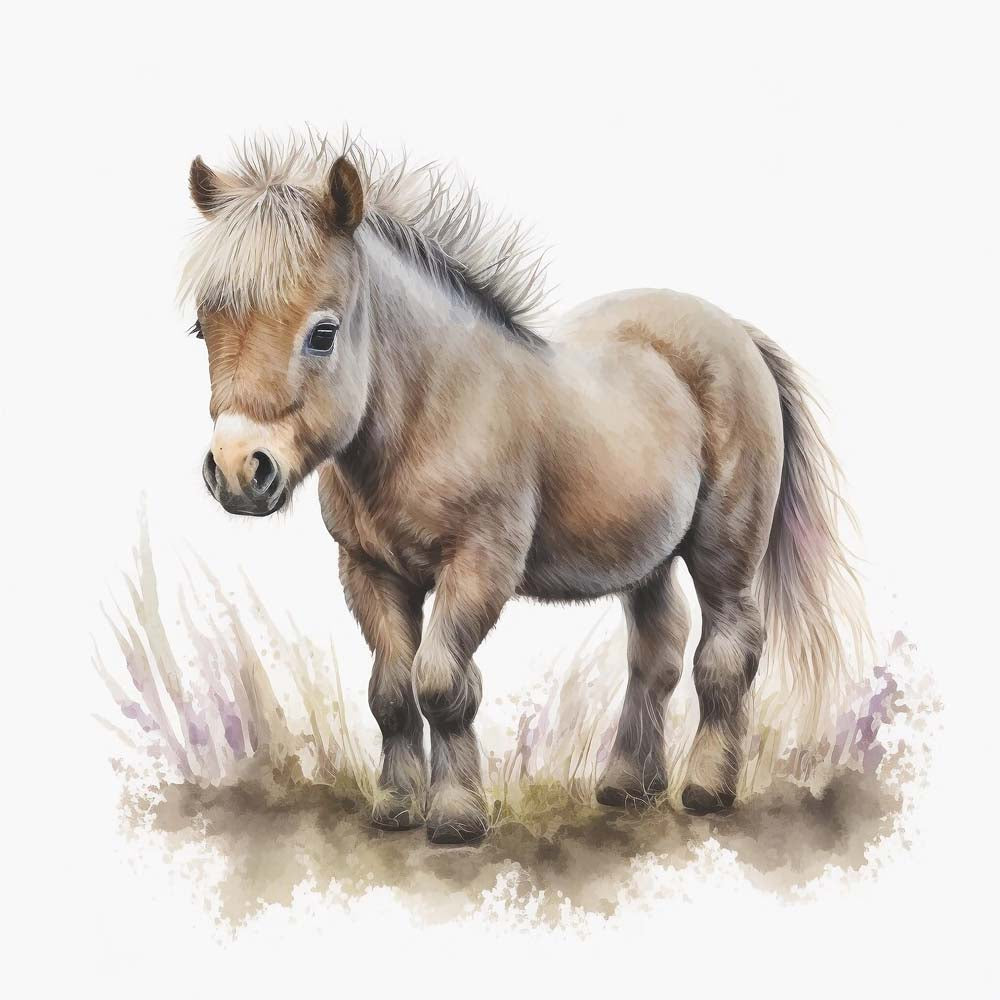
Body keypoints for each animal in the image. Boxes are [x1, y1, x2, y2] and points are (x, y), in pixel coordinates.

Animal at [181, 133, 869, 844]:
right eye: (203, 328)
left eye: (322, 333)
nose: (239, 470)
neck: (434, 407)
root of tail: (736, 333)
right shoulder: (369, 570)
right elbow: (391, 693)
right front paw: (395, 808)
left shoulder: (480, 566)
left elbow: (440, 683)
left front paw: (457, 816)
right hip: (647, 560)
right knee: (657, 653)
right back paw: (628, 785)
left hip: (724, 555)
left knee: (725, 653)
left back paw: (706, 788)